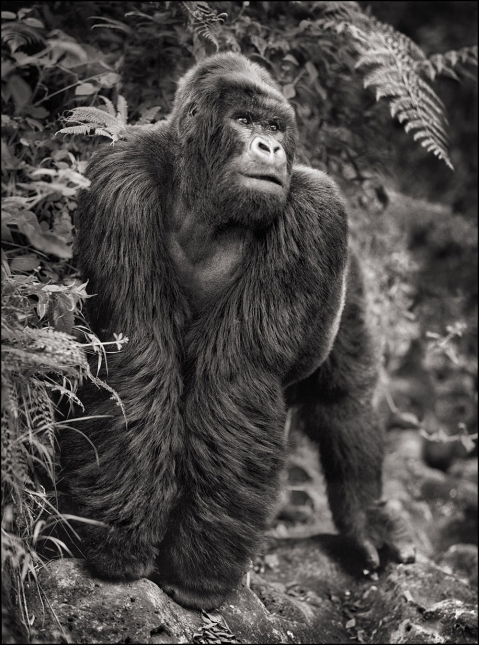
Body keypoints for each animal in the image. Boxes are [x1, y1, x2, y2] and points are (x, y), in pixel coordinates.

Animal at [62, 51, 416, 608]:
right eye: (244, 121)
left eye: (274, 126)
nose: (270, 147)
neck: (202, 199)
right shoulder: (120, 179)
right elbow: (136, 354)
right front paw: (119, 543)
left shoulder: (318, 211)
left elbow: (237, 380)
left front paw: (197, 574)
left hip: (349, 269)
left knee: (344, 398)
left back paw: (365, 514)